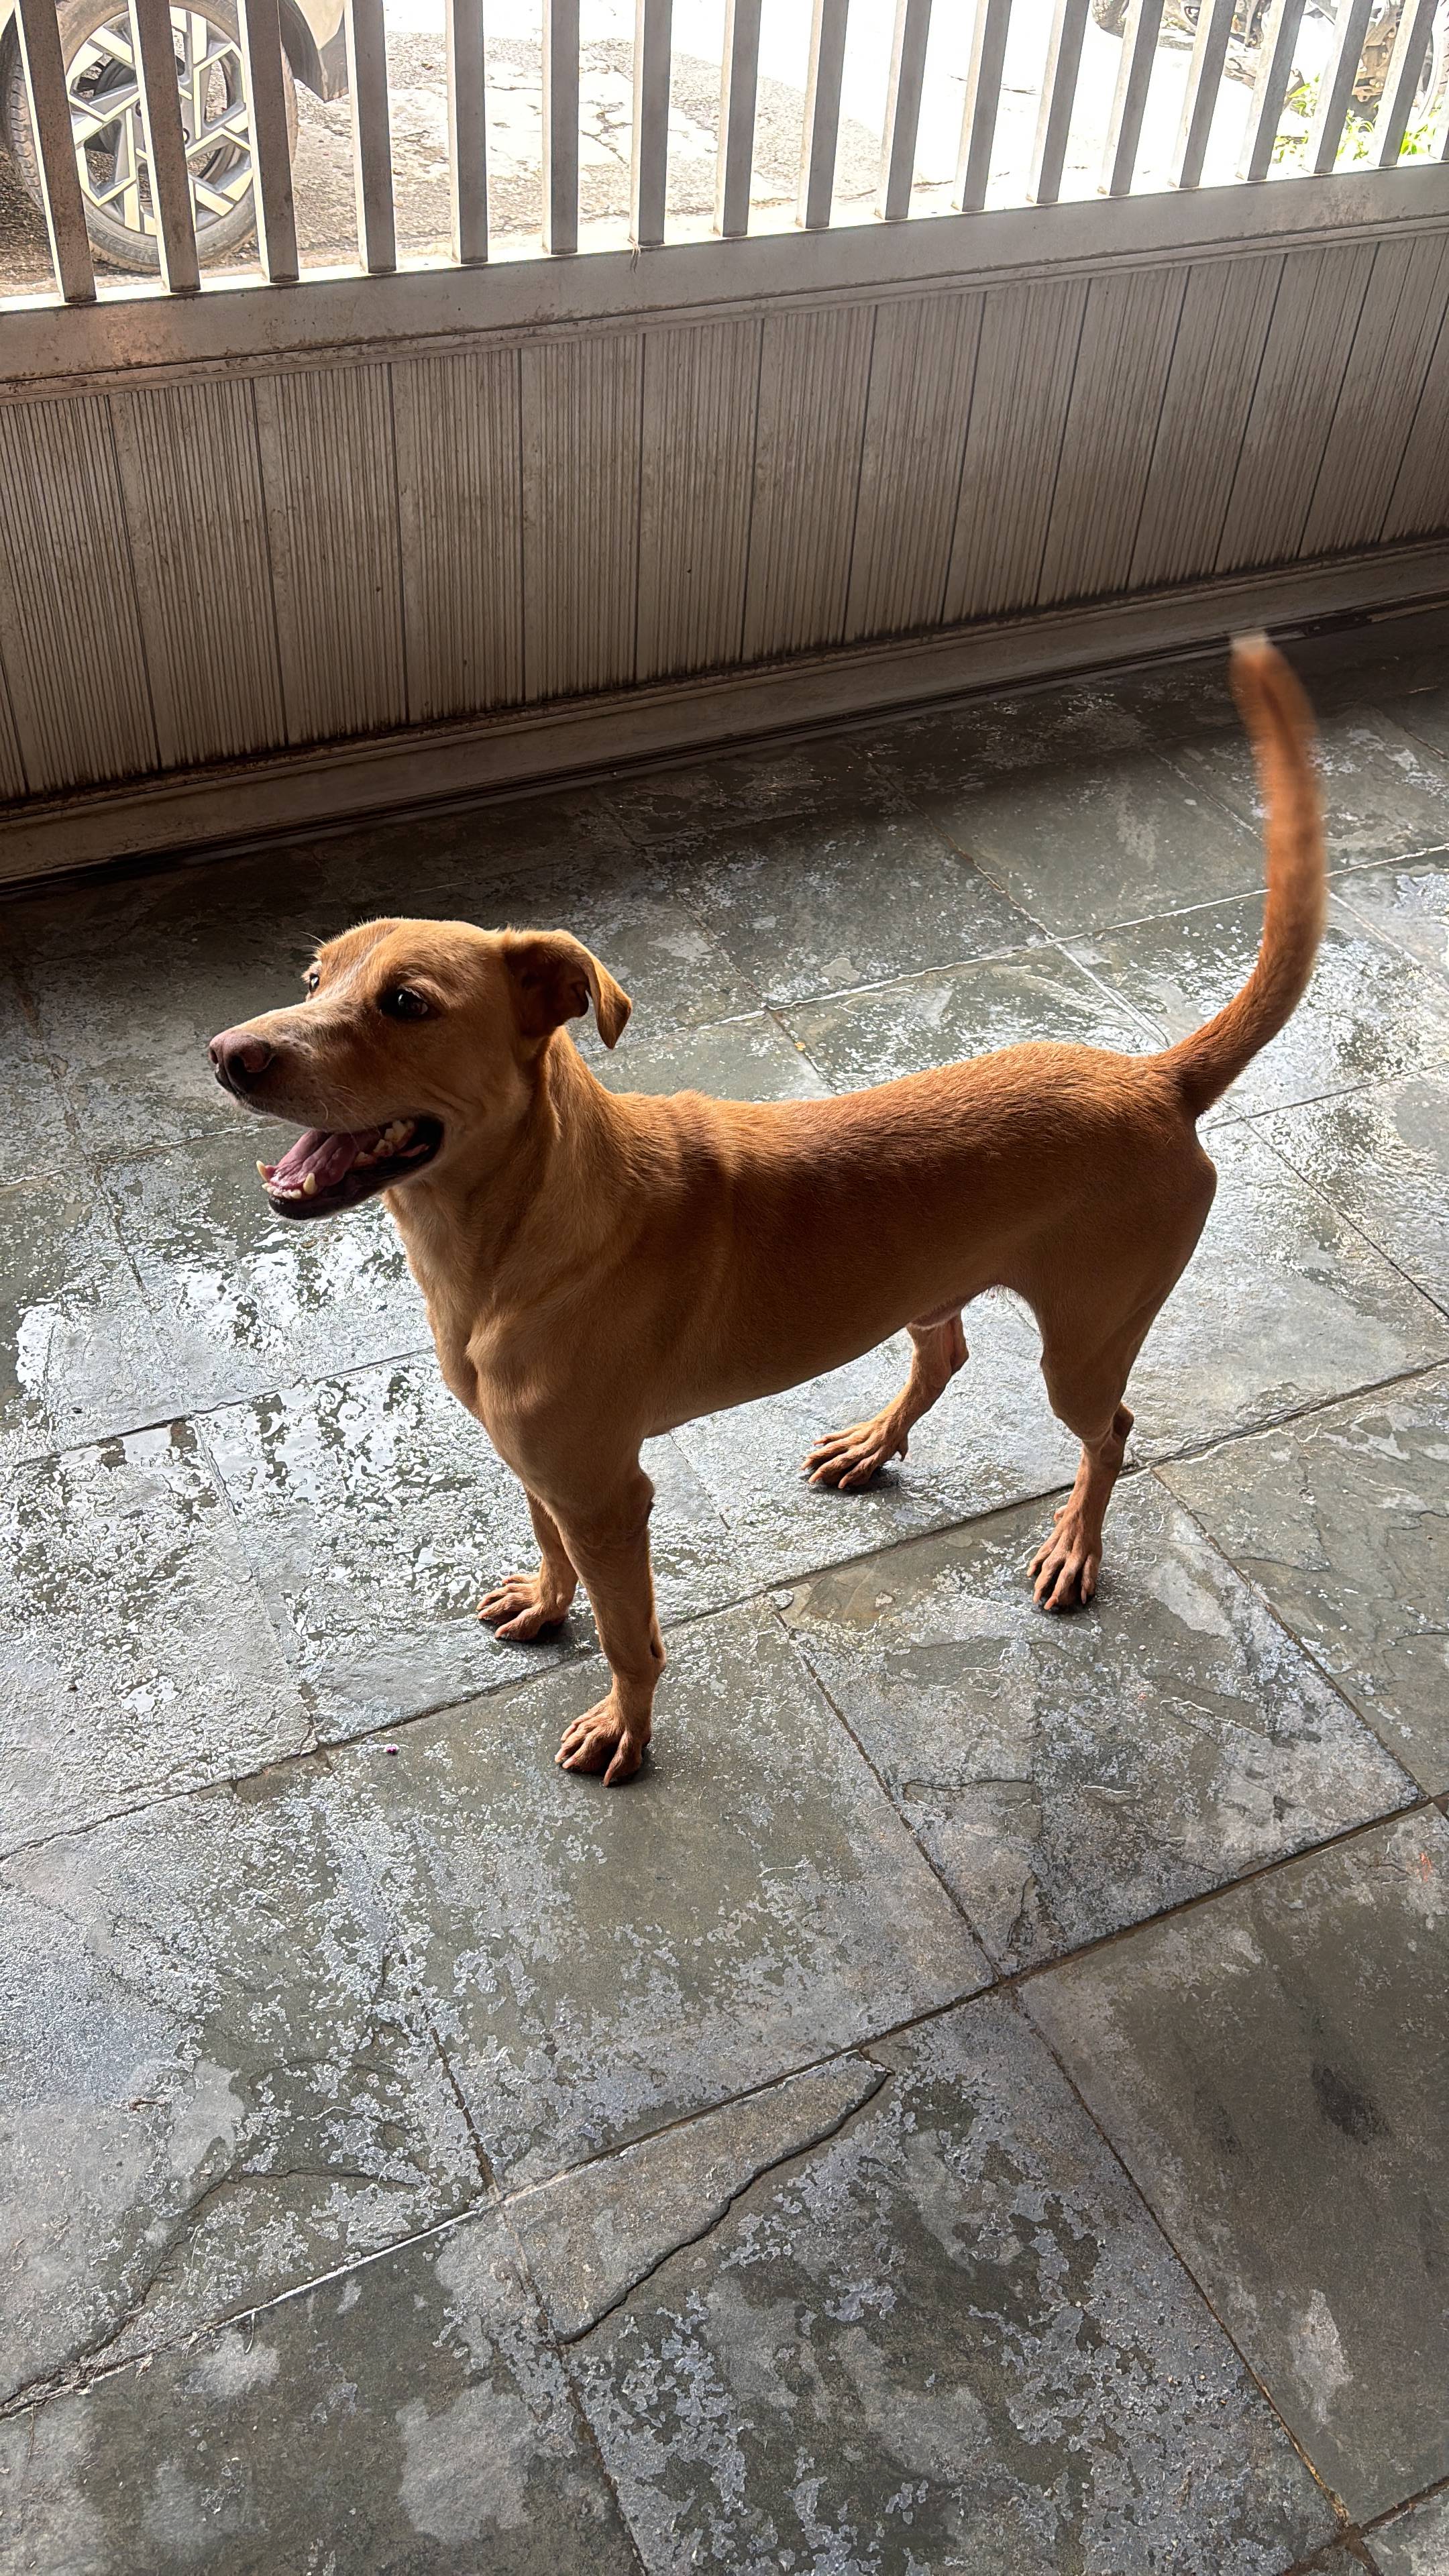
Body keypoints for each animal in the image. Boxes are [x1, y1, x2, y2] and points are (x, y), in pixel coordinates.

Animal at [208, 637, 1323, 1785]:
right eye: (313, 977)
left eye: (406, 1003)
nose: (227, 1056)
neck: (510, 1232)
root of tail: (1155, 1078)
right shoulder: (544, 1468)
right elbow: (549, 1544)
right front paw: (550, 1600)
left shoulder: (608, 1493)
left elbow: (629, 1634)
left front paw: (626, 1724)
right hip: (936, 1284)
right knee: (944, 1353)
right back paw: (875, 1444)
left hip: (1088, 1345)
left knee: (1112, 1434)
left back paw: (1074, 1542)